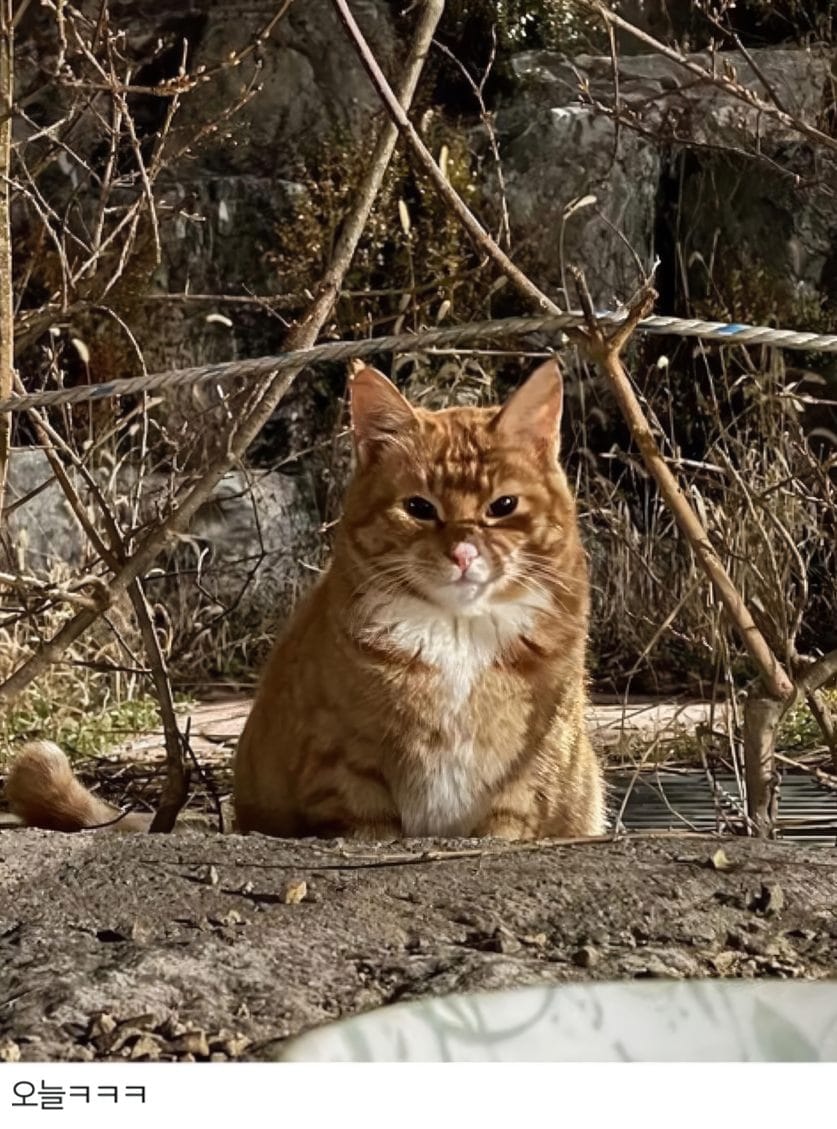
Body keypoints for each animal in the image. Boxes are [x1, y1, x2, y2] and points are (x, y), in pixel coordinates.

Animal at [9, 359, 605, 839]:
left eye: (503, 507)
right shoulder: (347, 764)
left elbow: (507, 822)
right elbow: (369, 825)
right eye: (419, 508)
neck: (457, 634)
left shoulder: (526, 773)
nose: (462, 553)